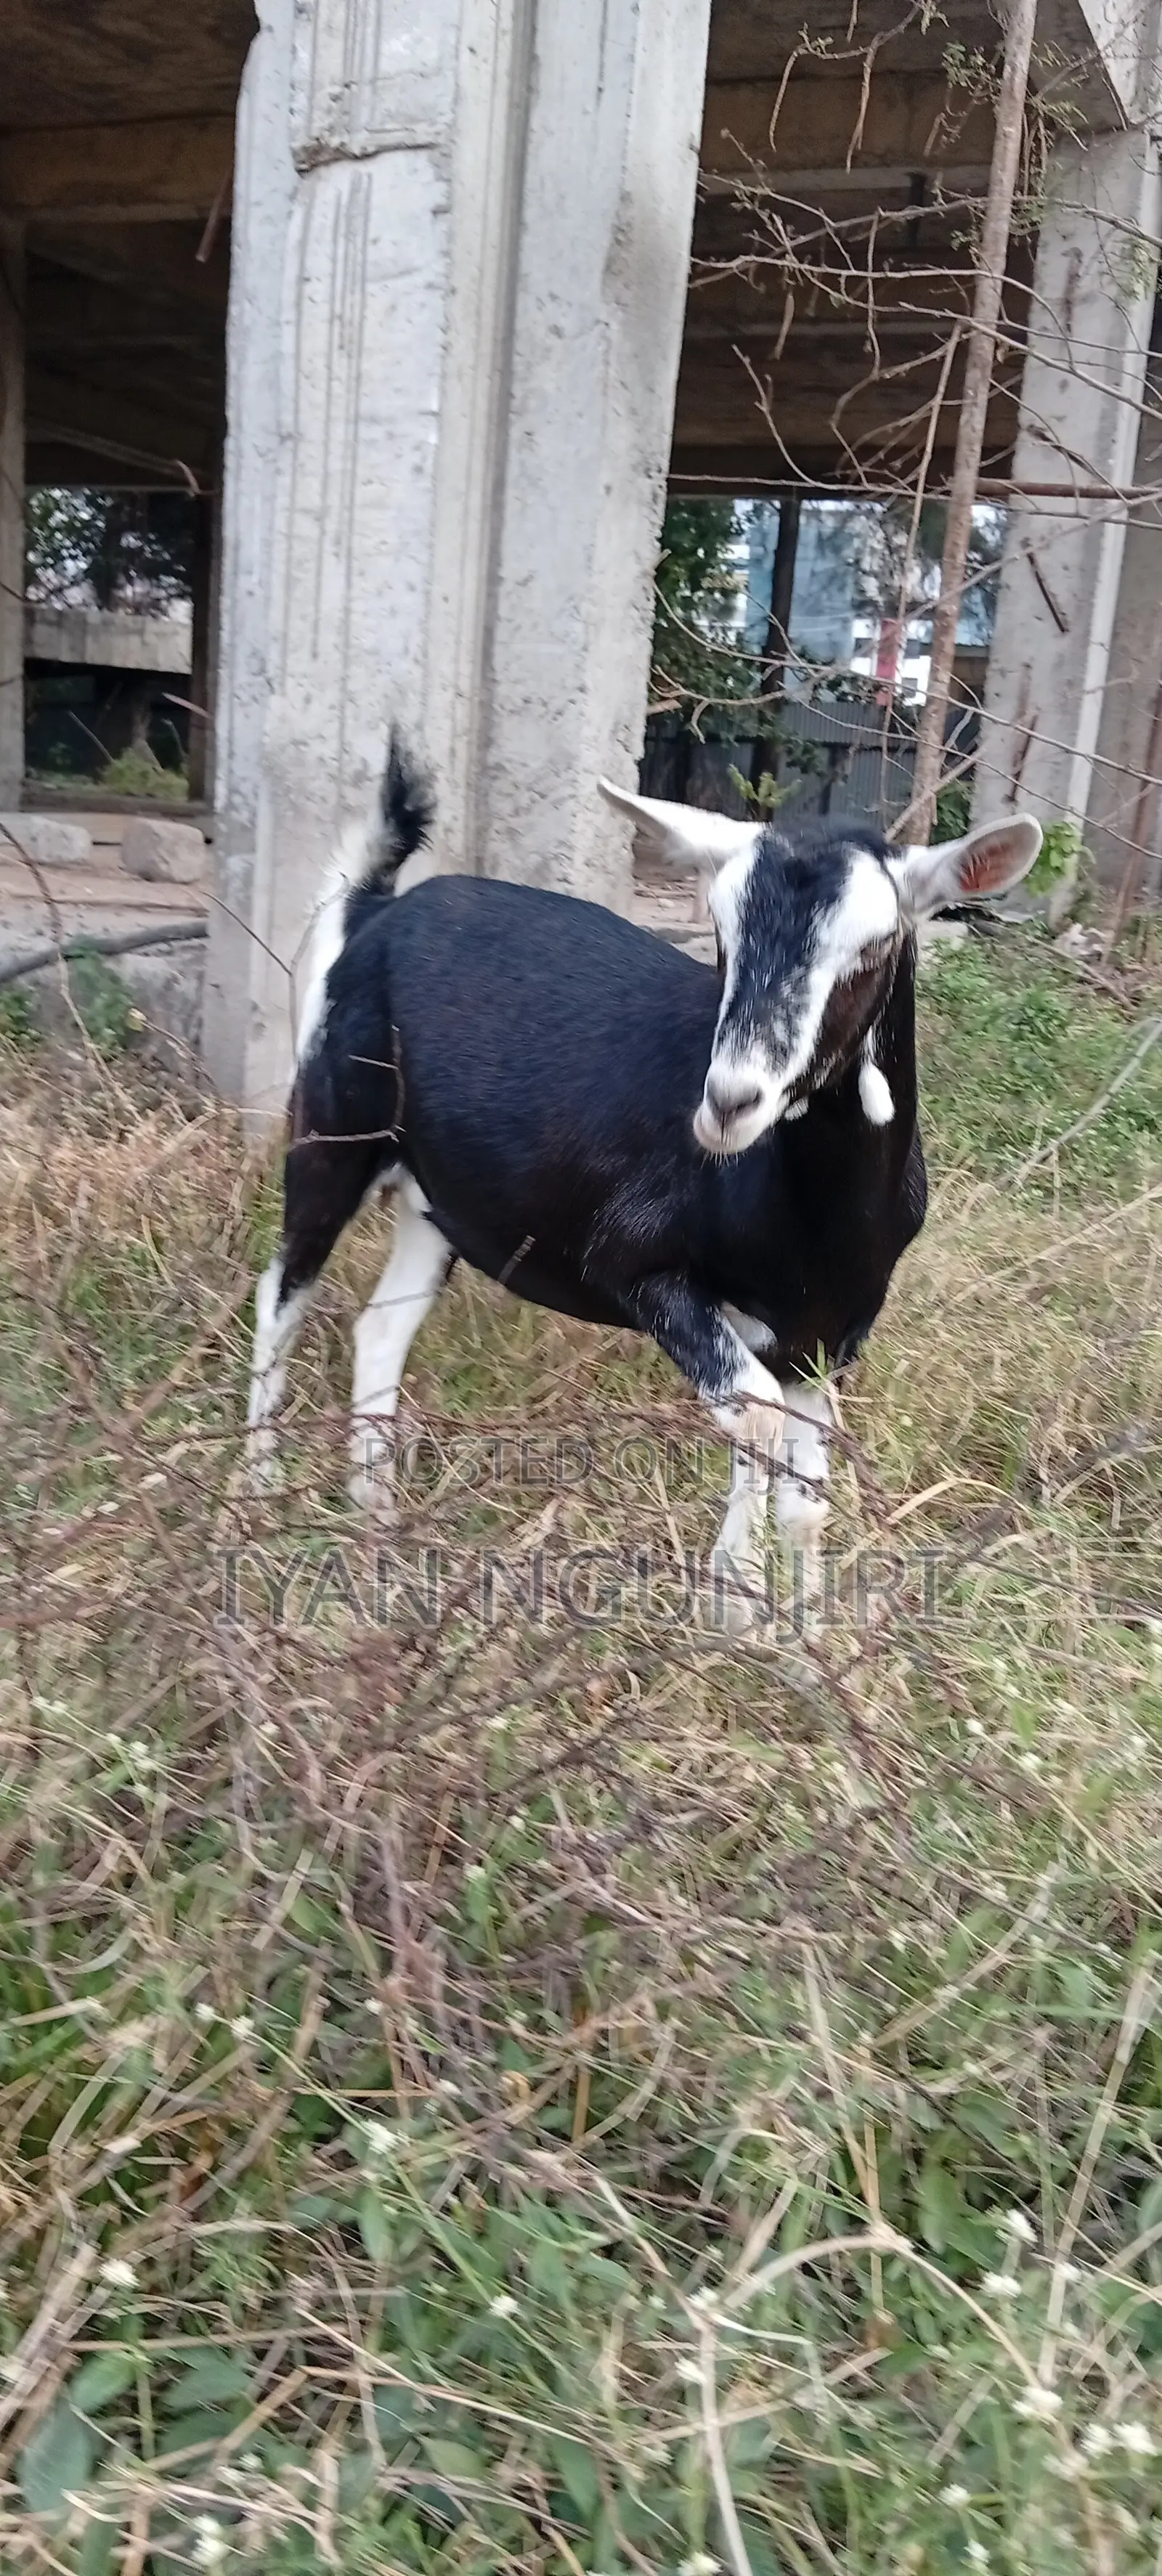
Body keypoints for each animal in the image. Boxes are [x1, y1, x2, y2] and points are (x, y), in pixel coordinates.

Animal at [246, 742, 1040, 1626]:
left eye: (874, 946)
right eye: (722, 934)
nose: (730, 1102)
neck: (813, 1220)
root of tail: (374, 912)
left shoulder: (828, 1337)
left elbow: (806, 1498)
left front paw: (809, 1633)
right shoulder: (637, 1268)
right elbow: (754, 1420)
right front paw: (734, 1605)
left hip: (437, 1199)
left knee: (383, 1325)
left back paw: (375, 1511)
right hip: (334, 1128)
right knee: (281, 1291)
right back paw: (258, 1485)